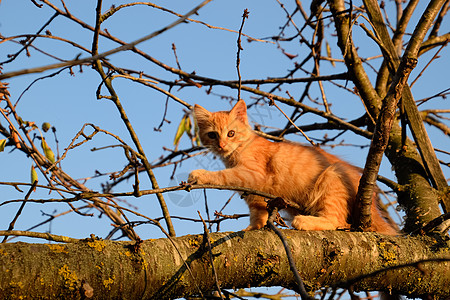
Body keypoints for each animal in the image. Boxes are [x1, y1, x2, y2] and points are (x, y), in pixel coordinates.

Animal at [188, 100, 396, 234]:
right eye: (213, 135)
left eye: (231, 133)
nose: (221, 145)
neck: (242, 148)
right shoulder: (256, 194)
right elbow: (258, 212)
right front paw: (254, 227)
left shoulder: (252, 174)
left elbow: (223, 175)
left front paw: (200, 175)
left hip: (331, 177)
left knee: (337, 220)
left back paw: (304, 221)